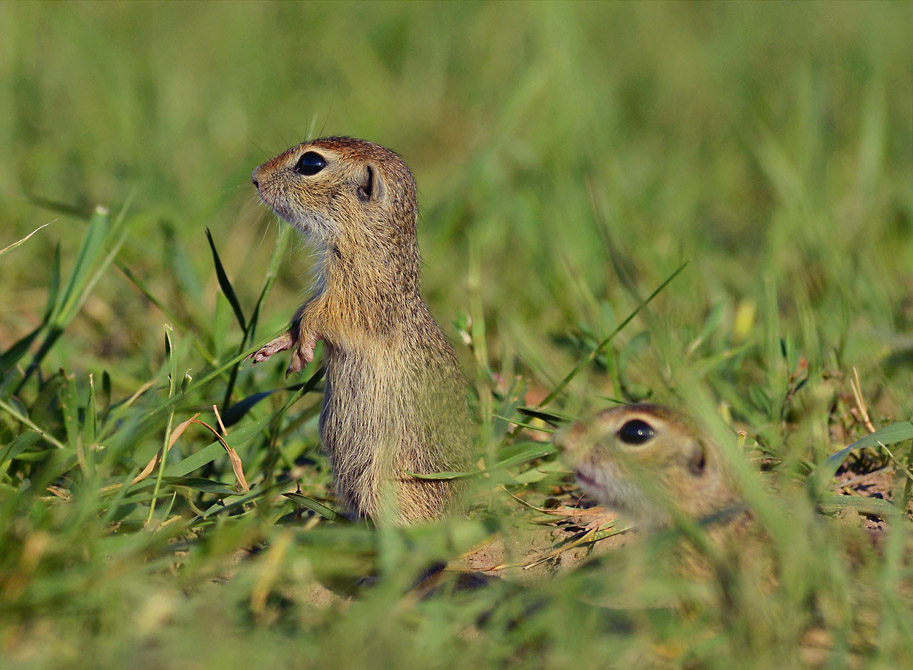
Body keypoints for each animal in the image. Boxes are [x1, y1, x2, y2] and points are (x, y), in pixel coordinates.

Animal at [249, 137, 472, 525]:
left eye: (310, 163)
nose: (255, 178)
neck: (367, 240)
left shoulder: (354, 298)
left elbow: (318, 317)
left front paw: (303, 349)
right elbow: (300, 317)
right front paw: (276, 345)